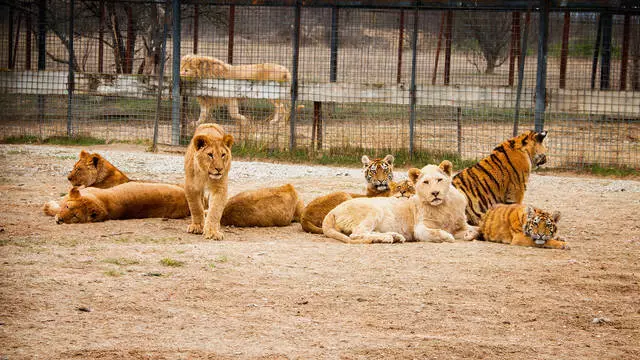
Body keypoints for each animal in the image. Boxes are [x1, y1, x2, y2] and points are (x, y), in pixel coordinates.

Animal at [322, 160, 478, 245]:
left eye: (439, 180)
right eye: (425, 182)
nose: (435, 193)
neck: (443, 206)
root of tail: (333, 211)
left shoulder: (461, 225)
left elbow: (474, 229)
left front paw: (470, 234)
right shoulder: (419, 229)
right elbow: (437, 233)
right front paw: (447, 236)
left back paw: (394, 236)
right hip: (374, 210)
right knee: (356, 234)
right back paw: (386, 238)